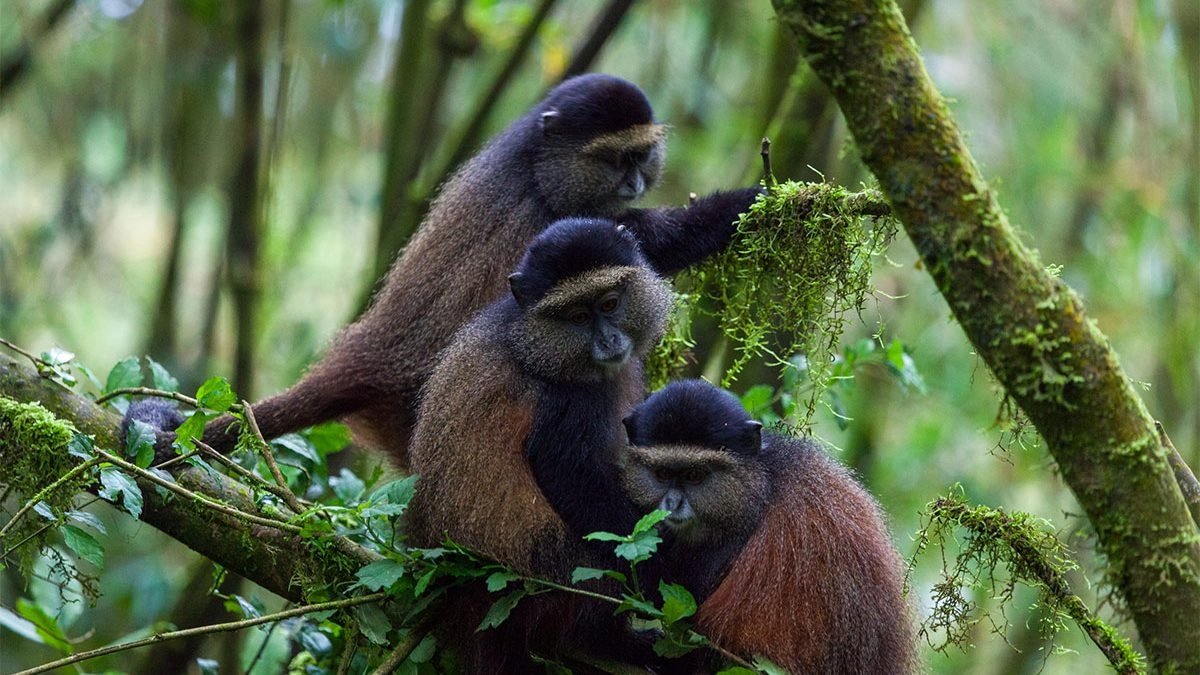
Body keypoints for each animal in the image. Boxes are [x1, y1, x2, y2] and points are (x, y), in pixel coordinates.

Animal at [133, 73, 761, 467]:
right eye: (614, 158)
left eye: (641, 156)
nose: (633, 181)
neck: (535, 166)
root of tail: (371, 356)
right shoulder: (549, 223)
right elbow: (638, 243)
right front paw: (751, 203)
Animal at [405, 217, 675, 672]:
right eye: (577, 316)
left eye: (609, 304)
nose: (609, 341)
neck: (534, 340)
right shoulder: (567, 401)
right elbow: (570, 476)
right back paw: (612, 643)